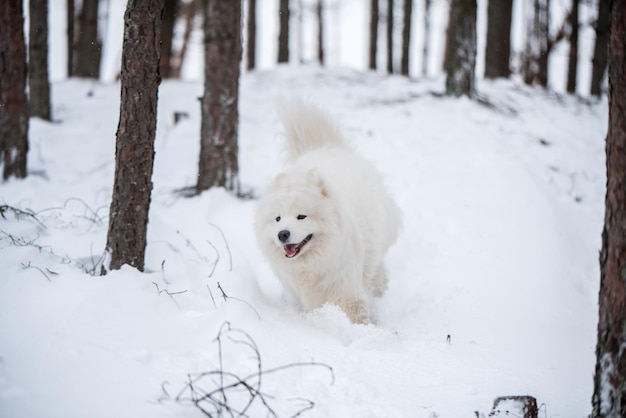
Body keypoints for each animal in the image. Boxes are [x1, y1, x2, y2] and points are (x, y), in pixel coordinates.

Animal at [254, 100, 400, 324]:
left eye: (301, 216)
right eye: (277, 219)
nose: (282, 234)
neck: (312, 266)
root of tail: (325, 147)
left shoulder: (347, 292)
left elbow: (354, 314)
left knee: (378, 261)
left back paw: (379, 285)